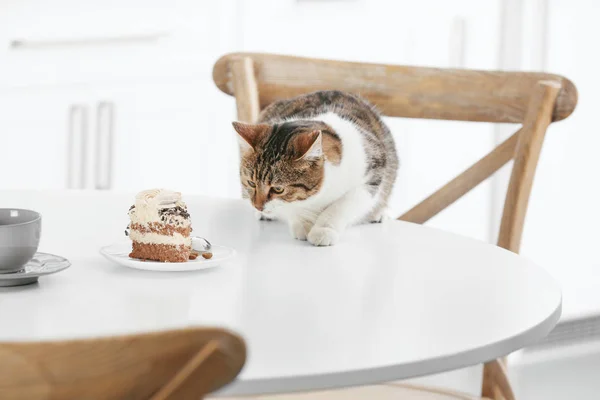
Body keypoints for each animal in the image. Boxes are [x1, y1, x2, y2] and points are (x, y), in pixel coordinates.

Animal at [233, 90, 398, 245]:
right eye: (251, 183)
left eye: (278, 189)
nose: (258, 206)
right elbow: (294, 208)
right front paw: (303, 224)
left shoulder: (373, 173)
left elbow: (343, 205)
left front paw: (323, 230)